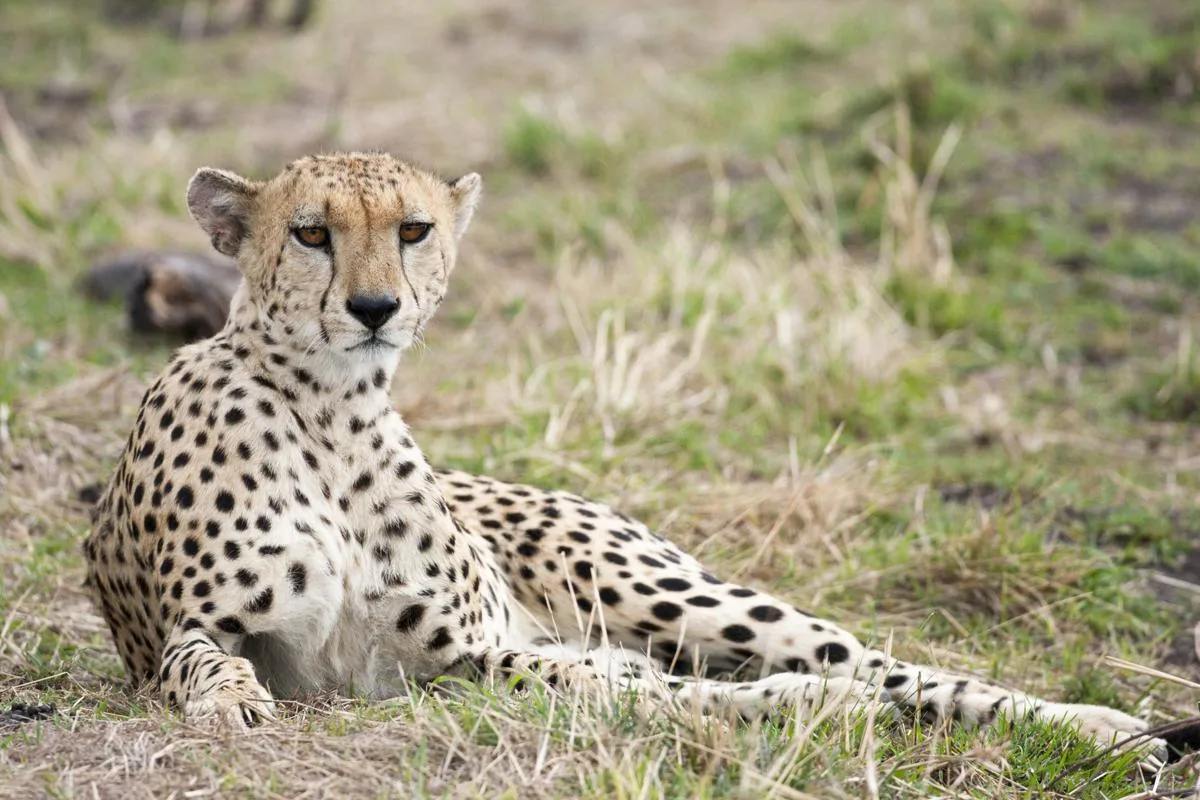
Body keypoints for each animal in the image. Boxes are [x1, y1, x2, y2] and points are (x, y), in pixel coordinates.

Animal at [82, 151, 1171, 767]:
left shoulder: (463, 650)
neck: (331, 412)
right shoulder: (214, 630)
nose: (375, 306)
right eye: (310, 234)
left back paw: (1096, 723)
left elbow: (600, 684)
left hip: (661, 591)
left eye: (413, 229)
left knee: (872, 660)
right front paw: (233, 703)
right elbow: (201, 663)